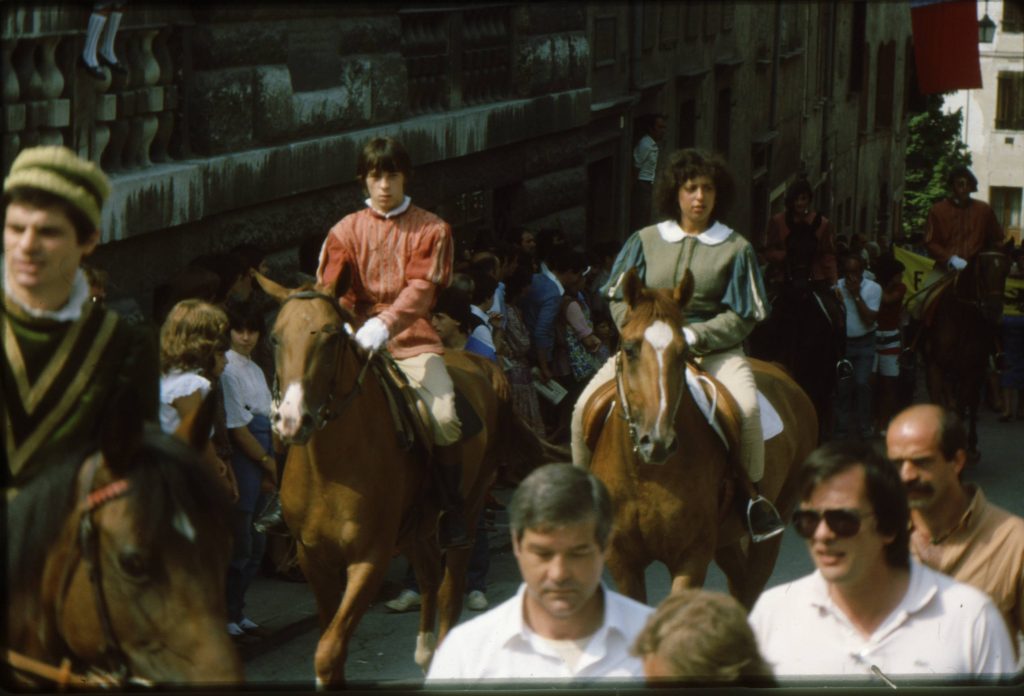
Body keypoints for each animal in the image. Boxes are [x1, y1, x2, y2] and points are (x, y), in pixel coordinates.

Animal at [258, 268, 528, 683]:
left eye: (332, 336)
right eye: (275, 337)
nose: (290, 419)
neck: (329, 470)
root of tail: (481, 363)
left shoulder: (371, 558)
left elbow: (328, 651)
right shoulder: (312, 557)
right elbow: (329, 646)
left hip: (467, 510)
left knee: (450, 588)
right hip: (418, 527)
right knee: (430, 576)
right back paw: (425, 649)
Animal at [585, 268, 815, 605]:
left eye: (683, 352)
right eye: (629, 348)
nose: (658, 442)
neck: (644, 474)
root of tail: (780, 371)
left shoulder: (691, 557)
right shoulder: (622, 563)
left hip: (775, 520)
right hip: (725, 539)